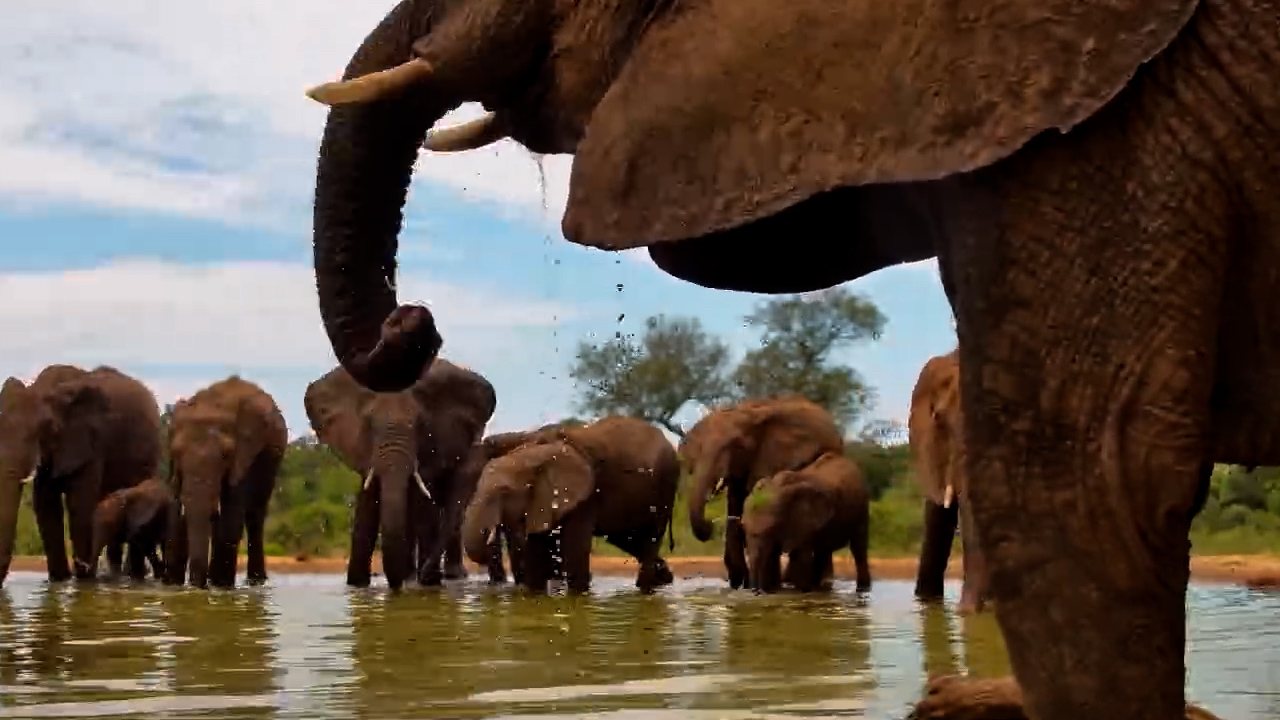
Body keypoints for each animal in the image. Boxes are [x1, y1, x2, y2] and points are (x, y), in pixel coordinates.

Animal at [0, 364, 161, 586]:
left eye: (42, 430)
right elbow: (45, 505)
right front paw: (59, 582)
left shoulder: (91, 444)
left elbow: (79, 505)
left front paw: (83, 583)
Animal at [165, 376, 287, 589]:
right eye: (176, 452)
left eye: (226, 455)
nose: (196, 585)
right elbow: (176, 514)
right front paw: (173, 586)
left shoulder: (244, 456)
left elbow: (232, 516)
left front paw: (221, 586)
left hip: (271, 459)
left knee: (255, 515)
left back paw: (254, 583)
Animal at [304, 358, 496, 590]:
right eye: (369, 424)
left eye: (422, 425)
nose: (396, 585)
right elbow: (367, 507)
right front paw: (357, 586)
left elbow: (423, 508)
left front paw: (427, 585)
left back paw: (449, 577)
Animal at [461, 415, 678, 594]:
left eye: (504, 492)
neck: (532, 451)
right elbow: (535, 558)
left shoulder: (585, 497)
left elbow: (573, 556)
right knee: (628, 539)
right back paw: (664, 579)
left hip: (666, 485)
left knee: (649, 538)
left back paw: (647, 588)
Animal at [741, 452, 872, 593]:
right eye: (742, 526)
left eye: (772, 527)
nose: (756, 592)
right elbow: (774, 554)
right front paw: (775, 591)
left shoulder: (803, 522)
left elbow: (800, 557)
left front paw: (801, 591)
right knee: (823, 550)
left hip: (862, 508)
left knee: (858, 548)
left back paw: (862, 590)